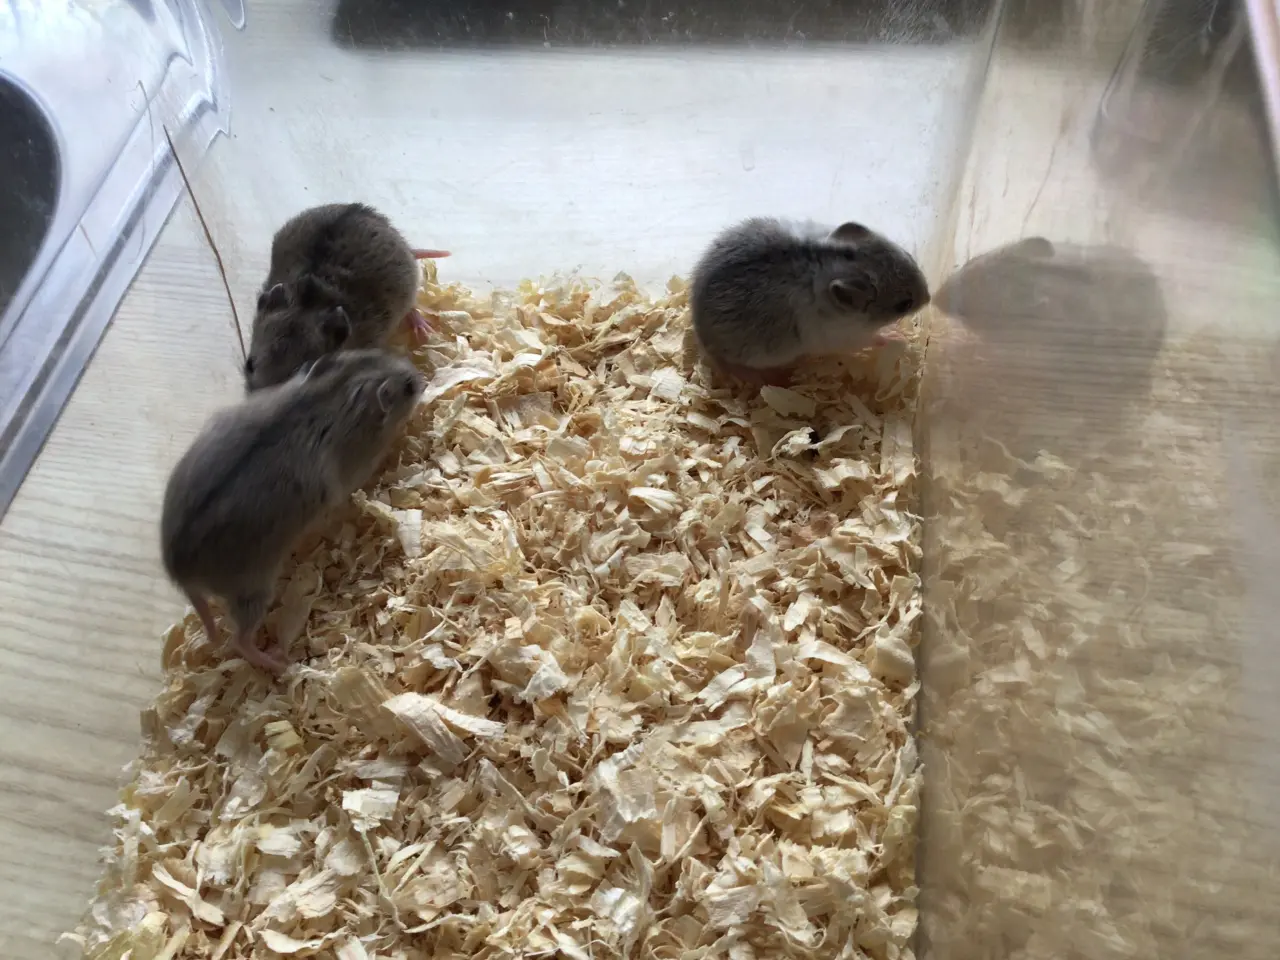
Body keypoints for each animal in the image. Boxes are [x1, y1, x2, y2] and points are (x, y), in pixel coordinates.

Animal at [161, 349, 426, 674]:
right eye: (409, 387)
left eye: (377, 353)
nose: (420, 376)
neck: (335, 398)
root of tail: (179, 571)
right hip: (253, 590)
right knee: (240, 640)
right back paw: (280, 662)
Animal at [244, 202, 449, 392]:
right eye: (249, 364)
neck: (309, 304)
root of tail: (405, 244)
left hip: (408, 286)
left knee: (412, 308)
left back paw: (423, 329)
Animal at [689, 217, 930, 386]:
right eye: (904, 304)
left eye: (909, 256)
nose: (929, 298)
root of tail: (700, 333)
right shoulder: (846, 337)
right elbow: (875, 338)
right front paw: (895, 334)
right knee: (731, 365)